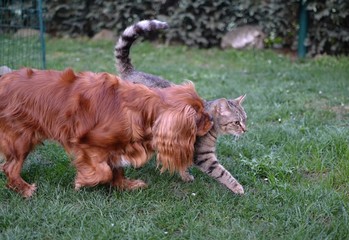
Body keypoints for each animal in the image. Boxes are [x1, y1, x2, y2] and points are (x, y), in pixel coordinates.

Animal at [0, 67, 212, 197]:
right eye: (200, 116)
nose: (211, 119)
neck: (141, 109)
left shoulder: (117, 146)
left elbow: (116, 169)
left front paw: (125, 185)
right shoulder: (88, 144)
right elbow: (104, 172)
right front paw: (83, 181)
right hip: (22, 138)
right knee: (9, 167)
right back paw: (25, 190)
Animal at [114, 19, 245, 194]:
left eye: (245, 119)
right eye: (236, 122)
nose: (245, 130)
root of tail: (131, 71)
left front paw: (185, 176)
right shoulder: (203, 155)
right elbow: (222, 172)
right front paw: (238, 188)